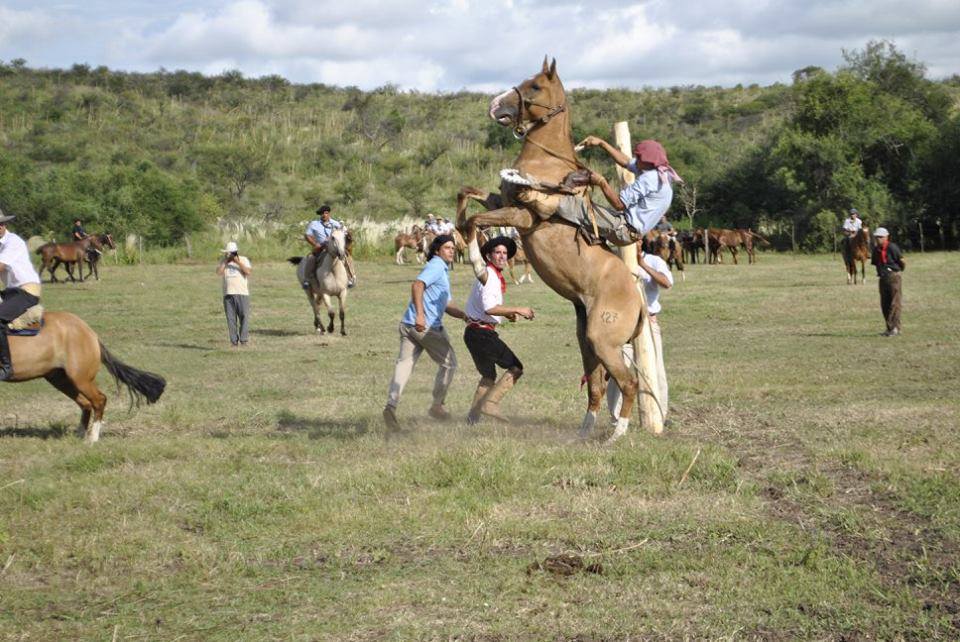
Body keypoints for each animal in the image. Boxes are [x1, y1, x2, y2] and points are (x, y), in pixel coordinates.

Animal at [0, 304, 165, 440]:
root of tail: (90, 332)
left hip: (80, 379)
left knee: (99, 400)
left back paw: (92, 438)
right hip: (60, 379)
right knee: (86, 403)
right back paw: (80, 433)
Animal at [458, 57, 652, 440]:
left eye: (534, 86)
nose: (494, 106)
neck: (546, 164)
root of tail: (637, 303)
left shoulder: (522, 214)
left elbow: (475, 221)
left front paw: (476, 262)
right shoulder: (500, 200)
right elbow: (467, 197)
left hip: (603, 339)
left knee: (628, 382)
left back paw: (616, 434)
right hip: (586, 340)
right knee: (597, 385)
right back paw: (584, 431)